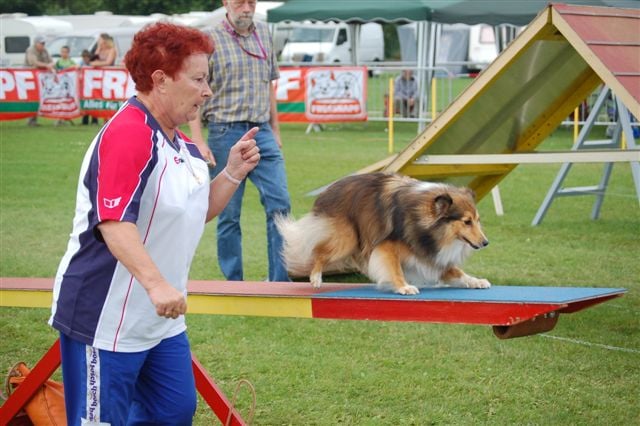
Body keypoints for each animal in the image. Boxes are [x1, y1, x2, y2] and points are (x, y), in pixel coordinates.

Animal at [276, 171, 490, 294]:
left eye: (478, 220)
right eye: (467, 222)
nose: (485, 243)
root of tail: (328, 189)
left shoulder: (429, 254)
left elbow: (457, 272)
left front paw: (477, 281)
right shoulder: (387, 245)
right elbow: (394, 267)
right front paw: (404, 286)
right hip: (346, 237)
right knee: (319, 252)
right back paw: (316, 278)